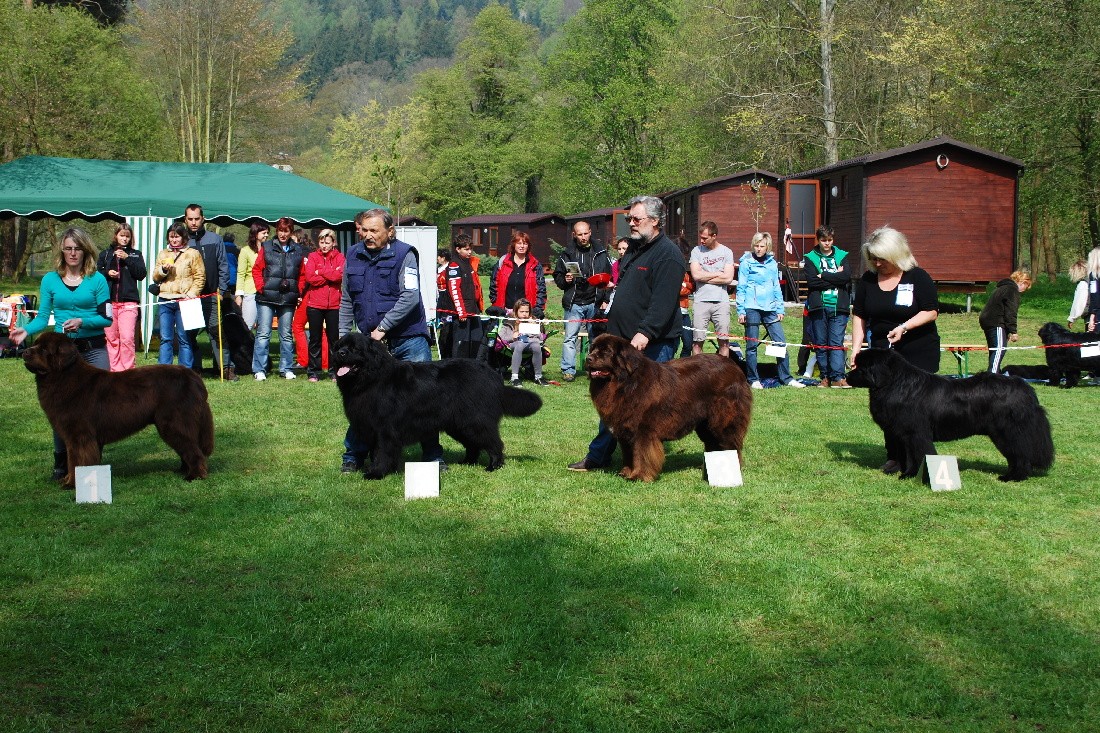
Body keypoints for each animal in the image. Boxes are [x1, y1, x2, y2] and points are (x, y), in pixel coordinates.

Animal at [22, 332, 214, 487]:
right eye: (35, 344)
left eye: (44, 349)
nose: (24, 352)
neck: (63, 377)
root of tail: (193, 377)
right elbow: (74, 460)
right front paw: (69, 480)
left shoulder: (79, 434)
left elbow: (77, 460)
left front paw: (72, 484)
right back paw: (184, 470)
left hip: (174, 423)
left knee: (193, 450)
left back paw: (194, 475)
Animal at [332, 333, 542, 478]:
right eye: (340, 346)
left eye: (355, 348)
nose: (340, 354)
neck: (372, 379)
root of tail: (493, 376)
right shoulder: (370, 427)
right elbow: (376, 452)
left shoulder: (385, 429)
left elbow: (382, 452)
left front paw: (376, 473)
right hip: (459, 425)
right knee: (473, 445)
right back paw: (467, 462)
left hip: (475, 421)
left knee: (494, 442)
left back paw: (493, 466)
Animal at [584, 333, 753, 482]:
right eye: (592, 348)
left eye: (606, 351)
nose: (588, 358)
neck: (625, 384)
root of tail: (735, 366)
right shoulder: (625, 430)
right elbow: (629, 454)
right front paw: (626, 472)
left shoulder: (643, 430)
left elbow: (641, 454)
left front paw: (639, 476)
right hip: (705, 425)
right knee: (713, 443)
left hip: (723, 421)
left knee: (729, 444)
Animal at [846, 348, 1053, 481]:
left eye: (861, 367)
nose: (847, 376)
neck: (895, 384)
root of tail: (1026, 389)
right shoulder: (902, 434)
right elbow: (907, 455)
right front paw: (905, 472)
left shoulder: (915, 433)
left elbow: (917, 455)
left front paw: (911, 475)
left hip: (1008, 432)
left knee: (1021, 455)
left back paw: (1013, 477)